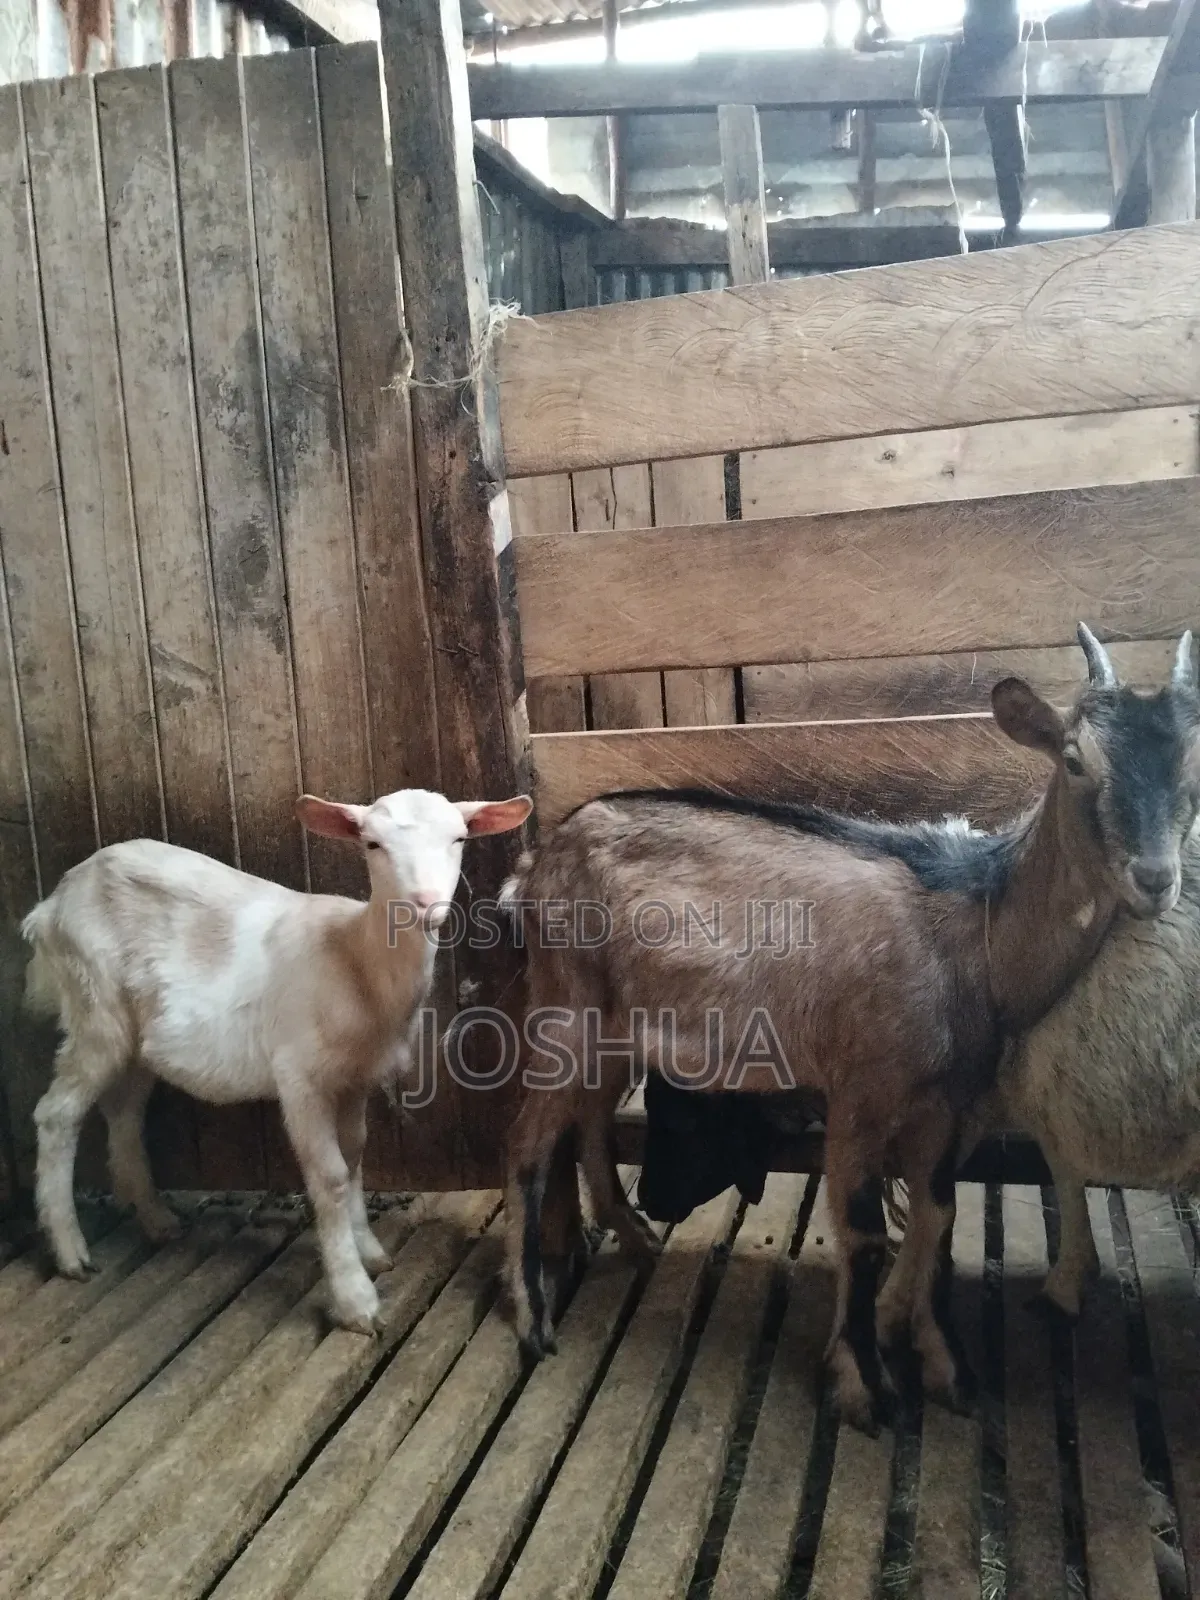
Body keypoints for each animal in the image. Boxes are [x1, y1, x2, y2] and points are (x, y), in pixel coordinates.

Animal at [22, 788, 531, 1333]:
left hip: (135, 1035)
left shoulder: (355, 1078)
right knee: (57, 1115)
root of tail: (52, 904)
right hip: (93, 1001)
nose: (424, 904)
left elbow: (355, 1154)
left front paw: (370, 1250)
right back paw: (70, 1251)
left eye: (459, 838)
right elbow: (330, 1175)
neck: (355, 959)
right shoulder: (300, 1076)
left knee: (124, 1112)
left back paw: (157, 1221)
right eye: (371, 844)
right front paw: (355, 1298)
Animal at [500, 627, 1200, 1433]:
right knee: (527, 1141)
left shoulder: (948, 1103)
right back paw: (531, 1316)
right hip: (564, 1005)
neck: (975, 931)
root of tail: (536, 861)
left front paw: (947, 1368)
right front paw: (864, 1386)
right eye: (1077, 758)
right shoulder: (863, 1085)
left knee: (587, 1116)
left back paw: (635, 1235)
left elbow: (938, 1213)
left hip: (618, 1024)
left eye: (1194, 762)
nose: (1155, 879)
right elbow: (863, 1233)